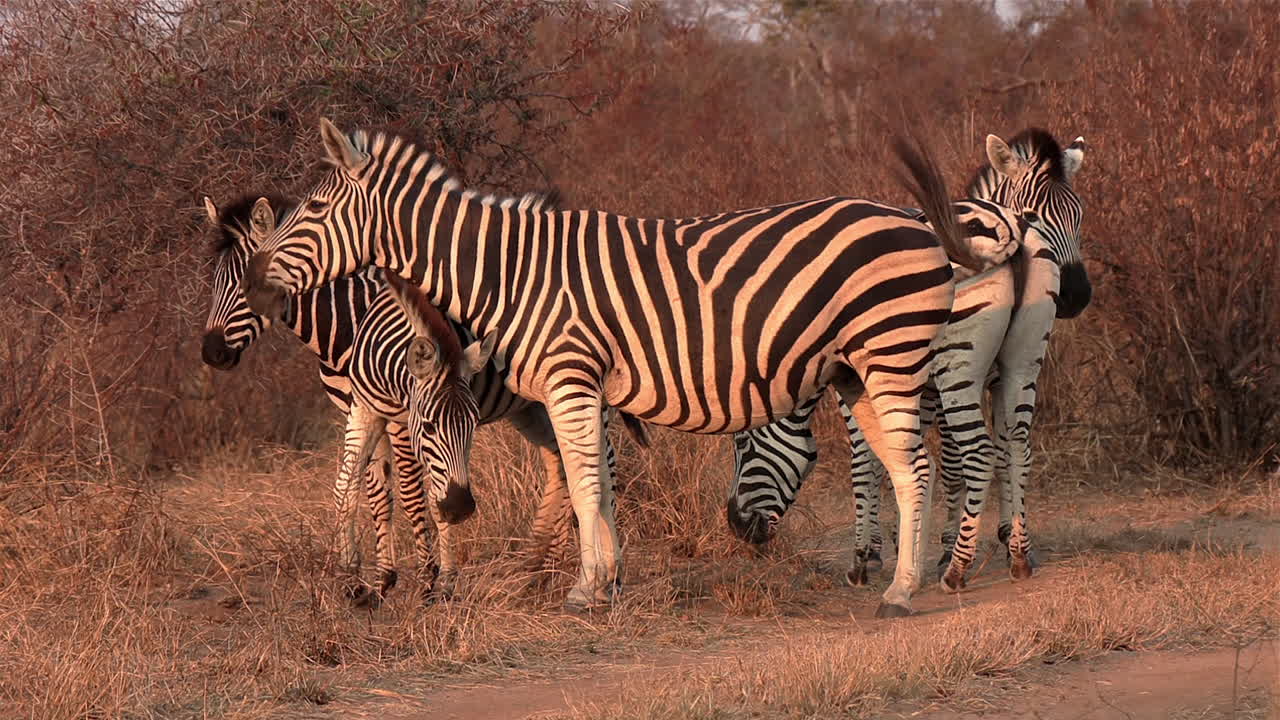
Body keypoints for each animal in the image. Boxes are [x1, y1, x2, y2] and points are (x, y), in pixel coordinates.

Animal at [200, 191, 637, 604]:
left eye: (243, 284)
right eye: (215, 281)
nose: (211, 353)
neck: (350, 324)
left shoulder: (404, 419)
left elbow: (414, 494)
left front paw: (432, 580)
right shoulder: (363, 410)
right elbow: (372, 492)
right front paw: (377, 581)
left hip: (582, 395)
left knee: (604, 465)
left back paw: (601, 576)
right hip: (531, 408)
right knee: (560, 463)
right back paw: (540, 566)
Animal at [725, 129, 1088, 591]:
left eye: (741, 443)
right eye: (1036, 214)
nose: (736, 526)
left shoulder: (866, 382)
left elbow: (870, 461)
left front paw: (870, 556)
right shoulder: (948, 385)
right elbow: (949, 458)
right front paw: (926, 541)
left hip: (959, 371)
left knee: (982, 452)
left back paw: (956, 569)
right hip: (1018, 365)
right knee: (1018, 446)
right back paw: (1014, 556)